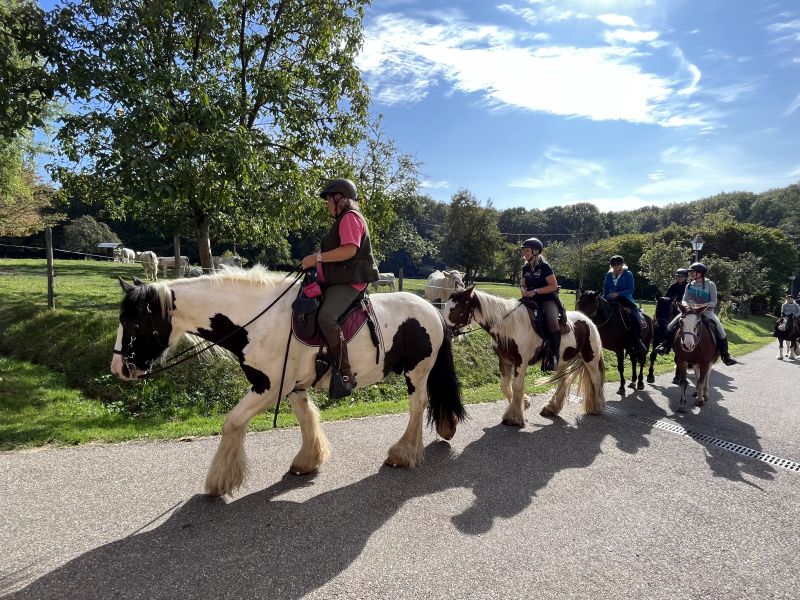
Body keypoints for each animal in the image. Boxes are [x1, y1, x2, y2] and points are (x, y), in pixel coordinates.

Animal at [109, 268, 466, 496]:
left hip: (417, 372)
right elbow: (306, 418)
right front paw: (309, 459)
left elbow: (232, 423)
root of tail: (433, 310)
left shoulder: (268, 388)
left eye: (133, 321)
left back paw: (403, 453)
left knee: (417, 406)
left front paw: (221, 480)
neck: (258, 321)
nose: (118, 368)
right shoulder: (293, 386)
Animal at [444, 288, 608, 424]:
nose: (446, 332)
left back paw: (596, 407)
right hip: (562, 361)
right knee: (564, 380)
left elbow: (516, 386)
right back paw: (552, 407)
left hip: (590, 358)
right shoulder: (504, 361)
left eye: (456, 308)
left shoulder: (520, 362)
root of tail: (588, 321)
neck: (509, 326)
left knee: (595, 379)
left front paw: (514, 417)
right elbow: (505, 386)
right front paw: (525, 403)